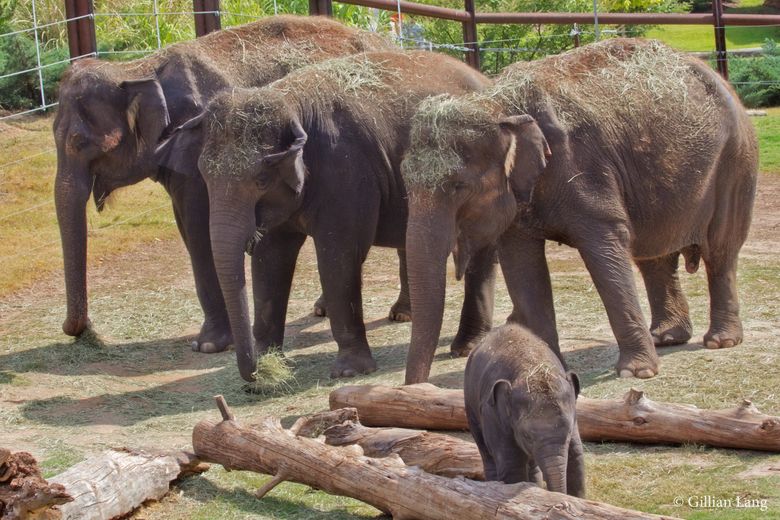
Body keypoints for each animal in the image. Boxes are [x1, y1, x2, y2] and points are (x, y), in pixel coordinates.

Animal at [51, 14, 394, 352]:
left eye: (80, 143)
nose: (85, 329)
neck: (139, 68)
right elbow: (188, 229)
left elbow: (200, 231)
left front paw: (209, 345)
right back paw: (321, 308)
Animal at [155, 50, 494, 380]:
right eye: (204, 175)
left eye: (261, 180)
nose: (252, 376)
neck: (289, 100)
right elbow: (270, 259)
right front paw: (269, 364)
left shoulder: (346, 172)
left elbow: (338, 258)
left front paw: (349, 371)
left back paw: (464, 347)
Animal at [400, 38, 760, 384]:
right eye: (405, 181)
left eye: (458, 185)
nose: (415, 388)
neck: (500, 103)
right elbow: (522, 267)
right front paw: (548, 367)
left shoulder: (586, 169)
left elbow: (605, 251)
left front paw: (636, 372)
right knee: (654, 256)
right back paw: (666, 337)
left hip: (736, 162)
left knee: (720, 251)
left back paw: (720, 341)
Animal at [464, 322, 584, 498]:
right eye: (527, 436)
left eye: (568, 432)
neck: (532, 366)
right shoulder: (494, 415)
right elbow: (512, 467)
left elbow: (576, 457)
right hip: (470, 406)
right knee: (486, 452)